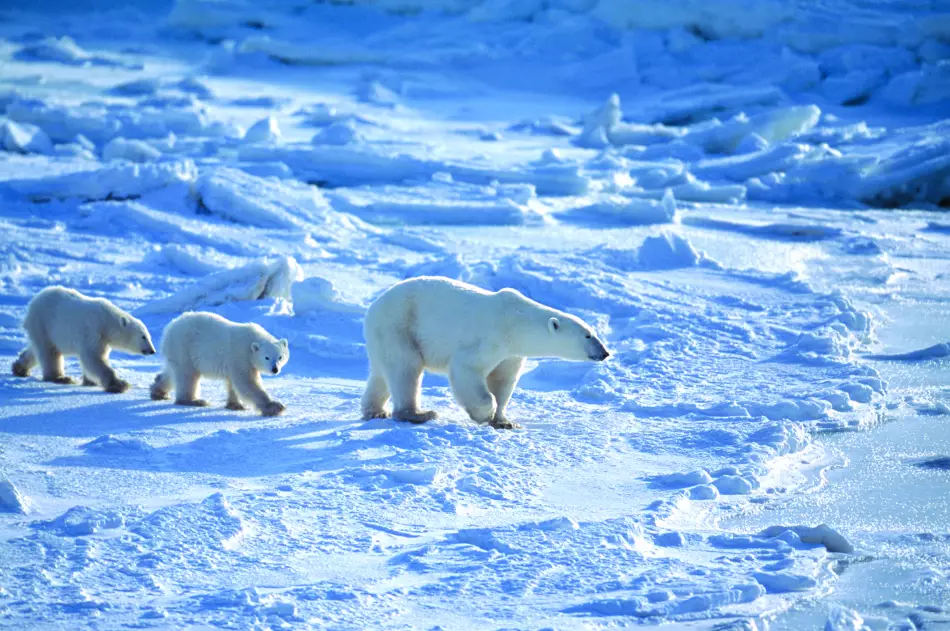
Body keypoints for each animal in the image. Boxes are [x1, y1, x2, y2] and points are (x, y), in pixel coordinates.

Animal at [12, 286, 157, 392]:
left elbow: (95, 358)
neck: (107, 321)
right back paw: (60, 377)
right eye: (143, 336)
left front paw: (90, 381)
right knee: (49, 353)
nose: (152, 351)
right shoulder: (93, 331)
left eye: (149, 336)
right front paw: (120, 384)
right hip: (43, 323)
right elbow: (93, 358)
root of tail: (33, 302)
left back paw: (20, 368)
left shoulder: (103, 339)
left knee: (36, 350)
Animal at [149, 314, 288, 418]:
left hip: (176, 352)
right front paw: (275, 407)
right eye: (267, 357)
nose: (275, 369)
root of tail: (169, 328)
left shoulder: (236, 362)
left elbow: (233, 382)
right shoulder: (240, 356)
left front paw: (235, 405)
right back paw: (194, 401)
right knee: (187, 376)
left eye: (280, 357)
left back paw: (158, 392)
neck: (251, 342)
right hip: (184, 348)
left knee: (171, 372)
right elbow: (247, 382)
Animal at [360, 278, 612, 432]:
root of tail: (373, 307)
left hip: (385, 335)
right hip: (399, 326)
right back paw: (418, 414)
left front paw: (505, 422)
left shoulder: (511, 353)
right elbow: (466, 369)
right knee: (406, 369)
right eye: (588, 335)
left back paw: (375, 411)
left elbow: (503, 380)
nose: (605, 352)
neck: (516, 321)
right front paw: (483, 414)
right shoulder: (490, 338)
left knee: (382, 373)